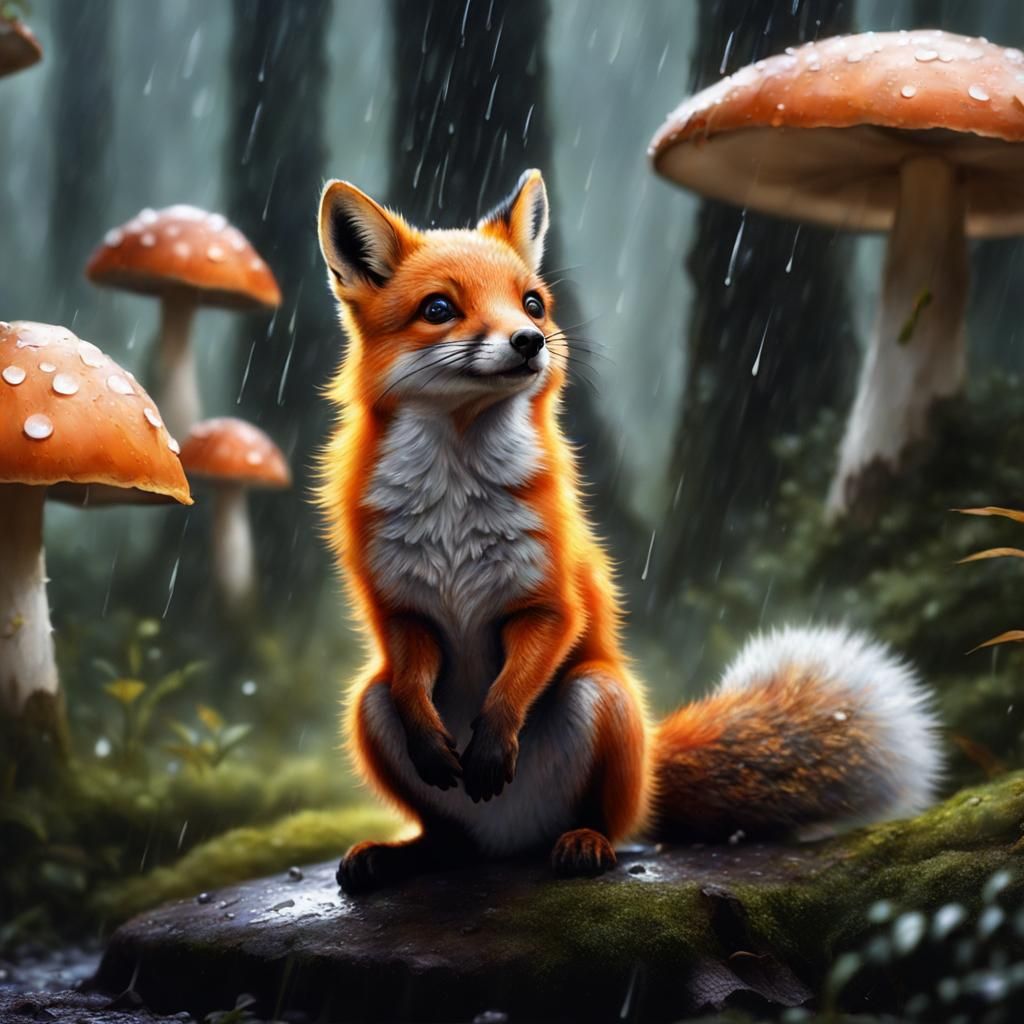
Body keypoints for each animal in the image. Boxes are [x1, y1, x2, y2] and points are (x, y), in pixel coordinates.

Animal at [314, 169, 943, 893]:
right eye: (439, 308)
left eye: (532, 303)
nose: (529, 341)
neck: (454, 500)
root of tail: (507, 843)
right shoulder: (401, 611)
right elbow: (414, 685)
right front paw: (441, 751)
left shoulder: (551, 601)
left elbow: (515, 682)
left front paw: (491, 745)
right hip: (368, 704)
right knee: (444, 832)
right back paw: (403, 854)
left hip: (603, 696)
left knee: (610, 824)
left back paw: (584, 844)